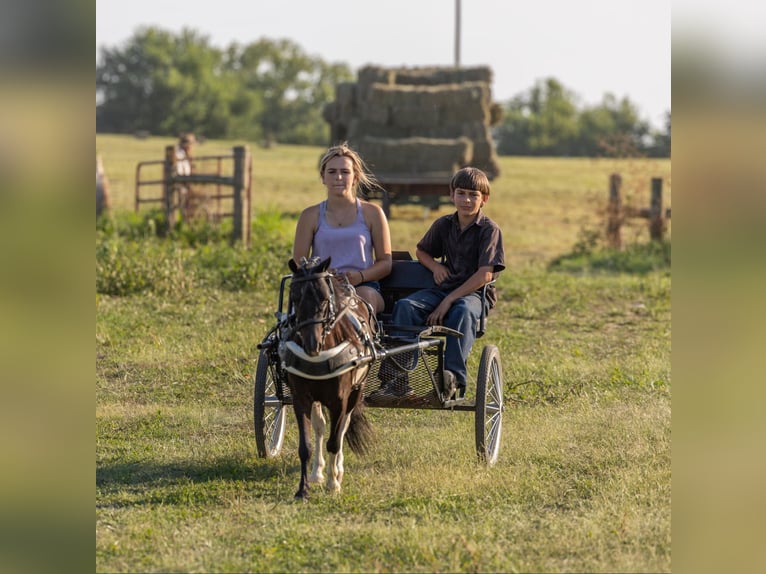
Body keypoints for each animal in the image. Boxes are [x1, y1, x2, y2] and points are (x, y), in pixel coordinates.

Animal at [282, 258, 378, 502]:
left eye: (324, 298)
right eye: (294, 298)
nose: (311, 345)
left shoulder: (340, 400)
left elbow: (335, 441)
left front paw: (333, 484)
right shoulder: (301, 398)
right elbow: (305, 445)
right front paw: (303, 489)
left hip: (356, 390)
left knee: (342, 427)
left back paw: (336, 471)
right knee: (320, 426)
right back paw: (318, 472)